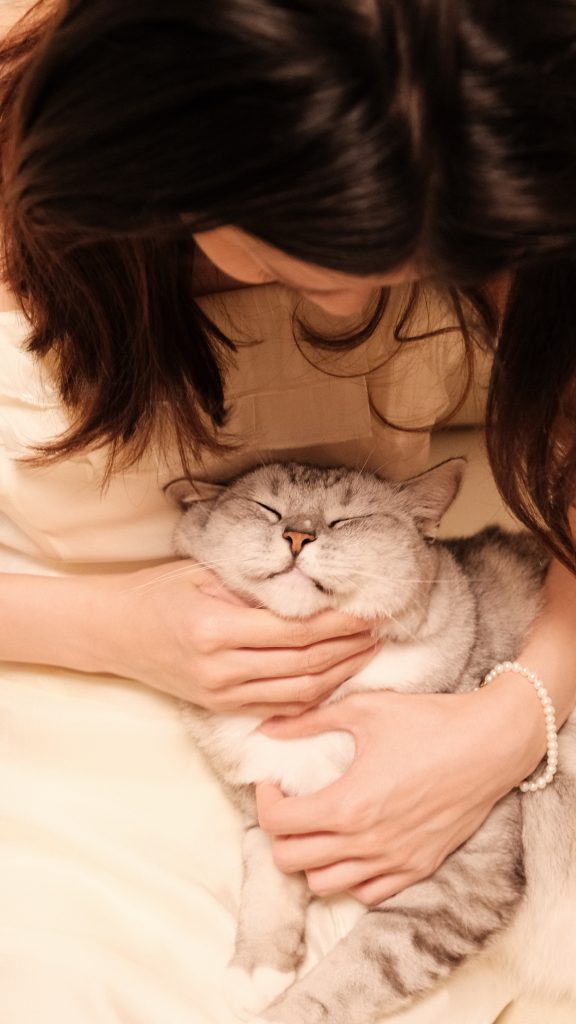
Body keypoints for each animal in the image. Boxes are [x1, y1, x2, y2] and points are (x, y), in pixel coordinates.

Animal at [165, 459, 576, 1024]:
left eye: (347, 519)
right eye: (267, 508)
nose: (298, 536)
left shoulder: (461, 880)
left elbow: (356, 969)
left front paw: (281, 1005)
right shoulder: (269, 812)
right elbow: (267, 882)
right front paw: (256, 968)